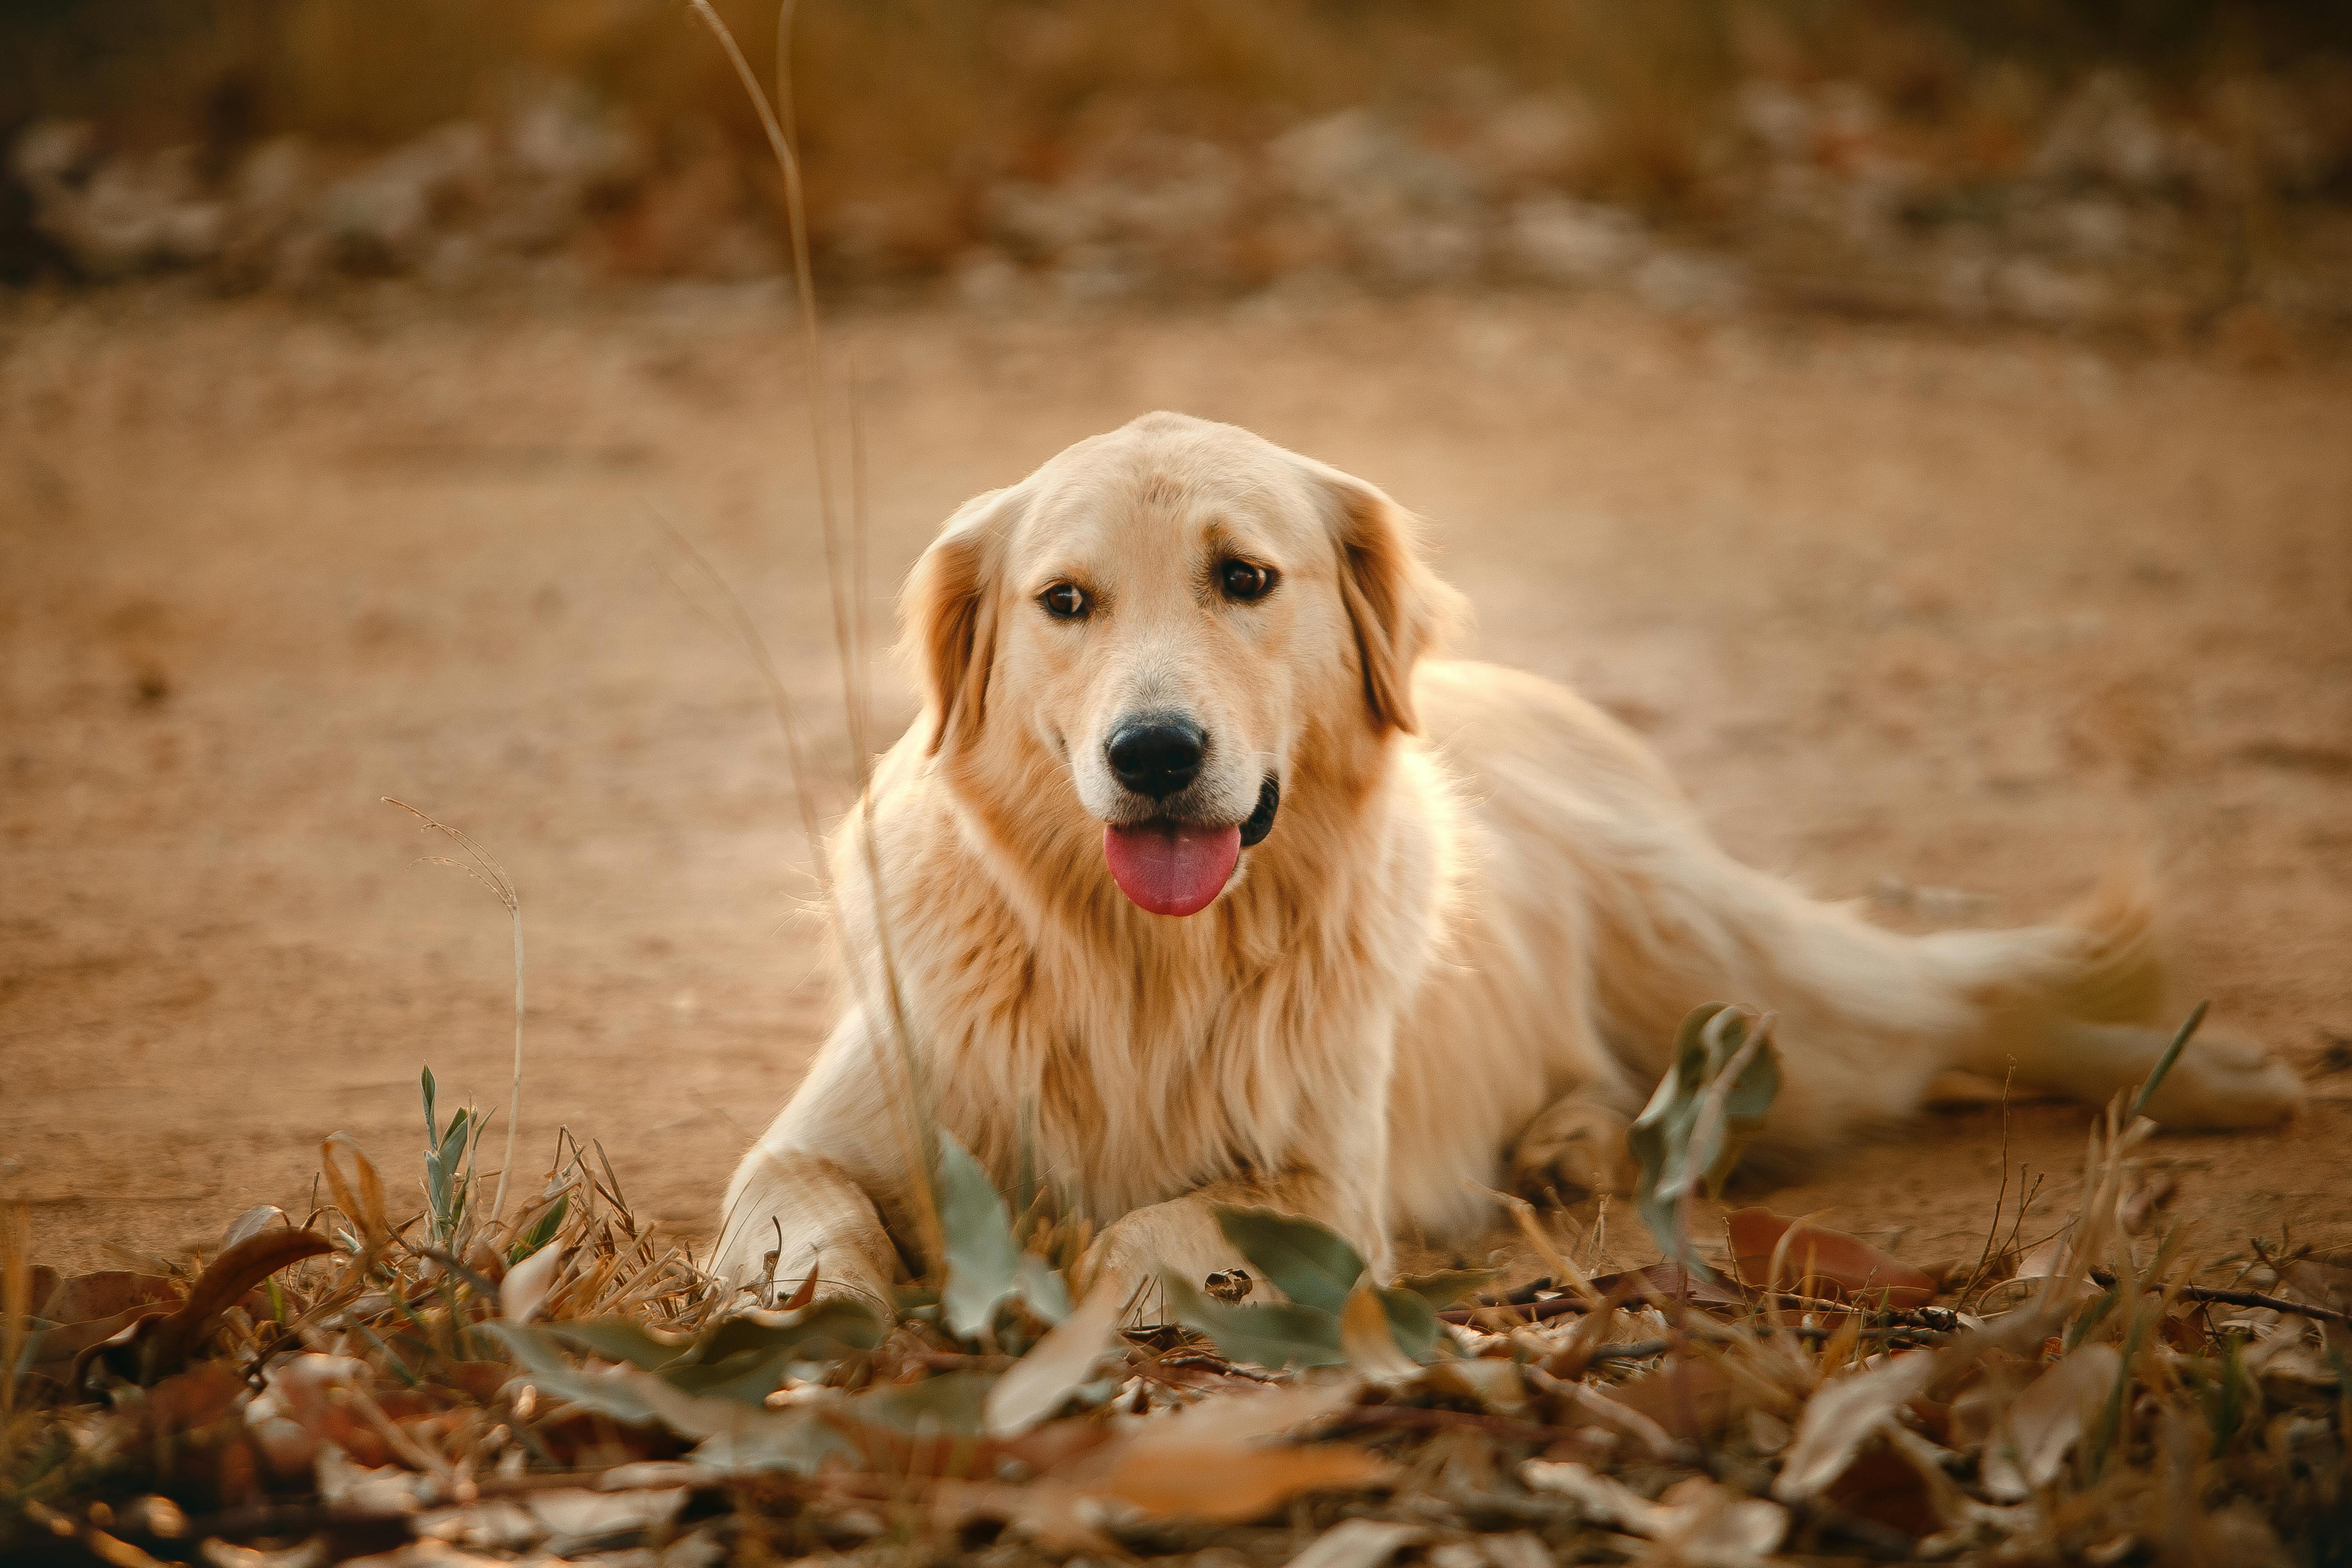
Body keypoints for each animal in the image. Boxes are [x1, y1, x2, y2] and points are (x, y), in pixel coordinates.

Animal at [710, 411, 2296, 1307]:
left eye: (1245, 578)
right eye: (1064, 602)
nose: (1152, 753)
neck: (1134, 956)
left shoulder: (1326, 1186)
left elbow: (1154, 1225)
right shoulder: (840, 1117)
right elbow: (791, 1206)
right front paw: (803, 1302)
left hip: (1741, 972)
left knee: (1949, 994)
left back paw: (2216, 1072)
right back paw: (1573, 1138)